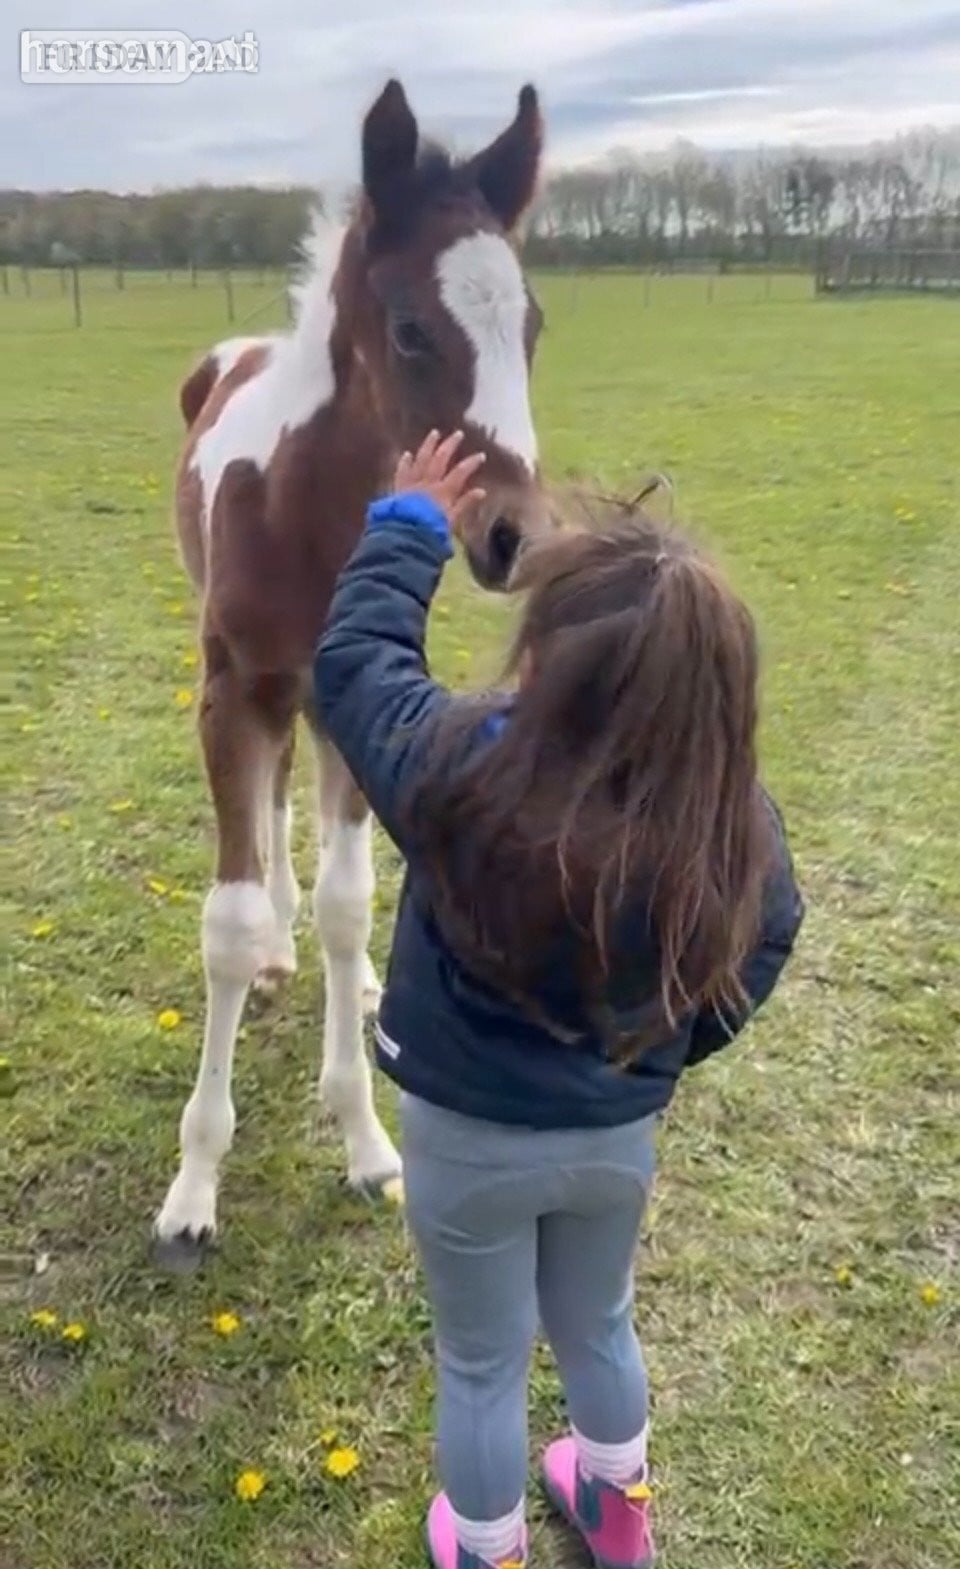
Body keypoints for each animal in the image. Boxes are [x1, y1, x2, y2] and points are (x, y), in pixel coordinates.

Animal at [154, 79, 550, 1268]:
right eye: (412, 329)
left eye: (531, 327)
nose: (516, 536)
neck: (305, 512)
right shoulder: (229, 697)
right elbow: (228, 924)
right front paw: (193, 1188)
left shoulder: (350, 699)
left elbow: (347, 902)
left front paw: (367, 1141)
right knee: (271, 806)